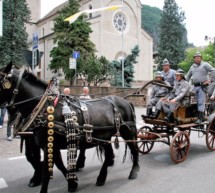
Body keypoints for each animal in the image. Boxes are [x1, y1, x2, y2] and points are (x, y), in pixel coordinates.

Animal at [0, 62, 139, 192]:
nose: (12, 121)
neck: (44, 108)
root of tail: (126, 101)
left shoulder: (47, 144)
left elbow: (46, 172)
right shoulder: (48, 144)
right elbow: (58, 164)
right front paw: (72, 182)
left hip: (127, 132)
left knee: (134, 149)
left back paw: (134, 171)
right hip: (104, 137)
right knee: (109, 155)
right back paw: (101, 177)